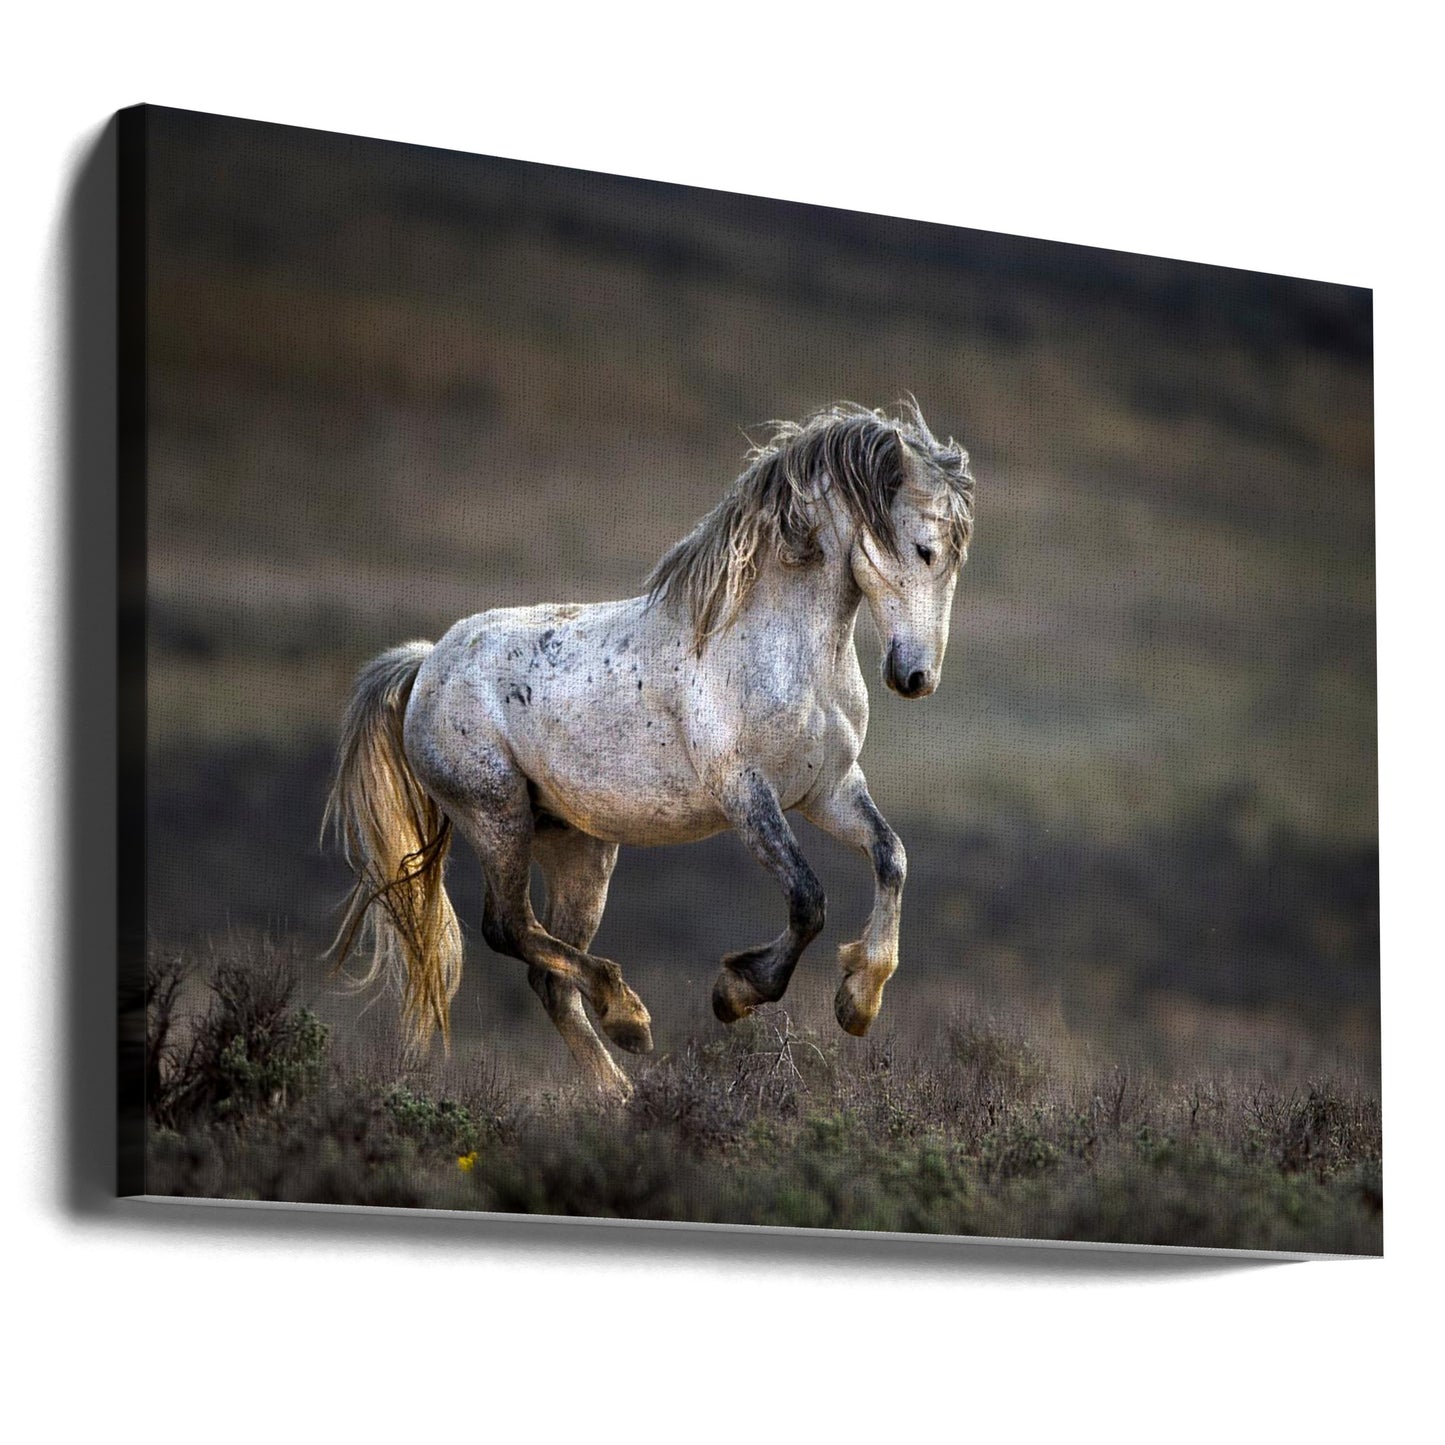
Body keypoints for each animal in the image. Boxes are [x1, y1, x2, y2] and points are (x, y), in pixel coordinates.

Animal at [324, 400, 976, 1098]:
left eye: (955, 561)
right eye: (924, 548)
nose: (915, 677)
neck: (782, 649)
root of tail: (426, 665)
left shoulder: (829, 790)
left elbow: (891, 858)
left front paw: (859, 999)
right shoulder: (746, 795)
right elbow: (808, 900)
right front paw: (736, 992)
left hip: (578, 847)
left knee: (548, 976)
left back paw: (620, 1089)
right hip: (497, 815)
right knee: (509, 928)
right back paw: (626, 1012)